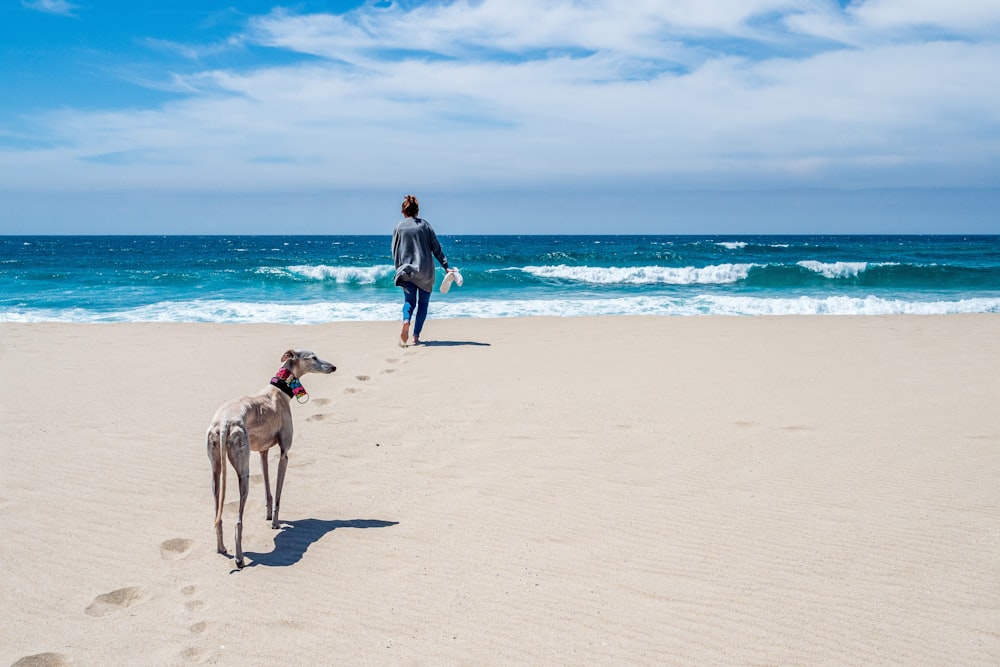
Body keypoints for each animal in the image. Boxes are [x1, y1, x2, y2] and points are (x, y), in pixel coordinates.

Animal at [207, 350, 336, 568]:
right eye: (313, 357)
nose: (333, 367)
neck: (278, 391)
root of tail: (224, 422)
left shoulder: (263, 452)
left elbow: (268, 489)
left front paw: (268, 516)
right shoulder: (284, 453)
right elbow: (278, 493)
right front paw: (275, 522)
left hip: (216, 471)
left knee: (219, 515)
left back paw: (222, 549)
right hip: (243, 472)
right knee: (238, 521)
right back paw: (239, 559)